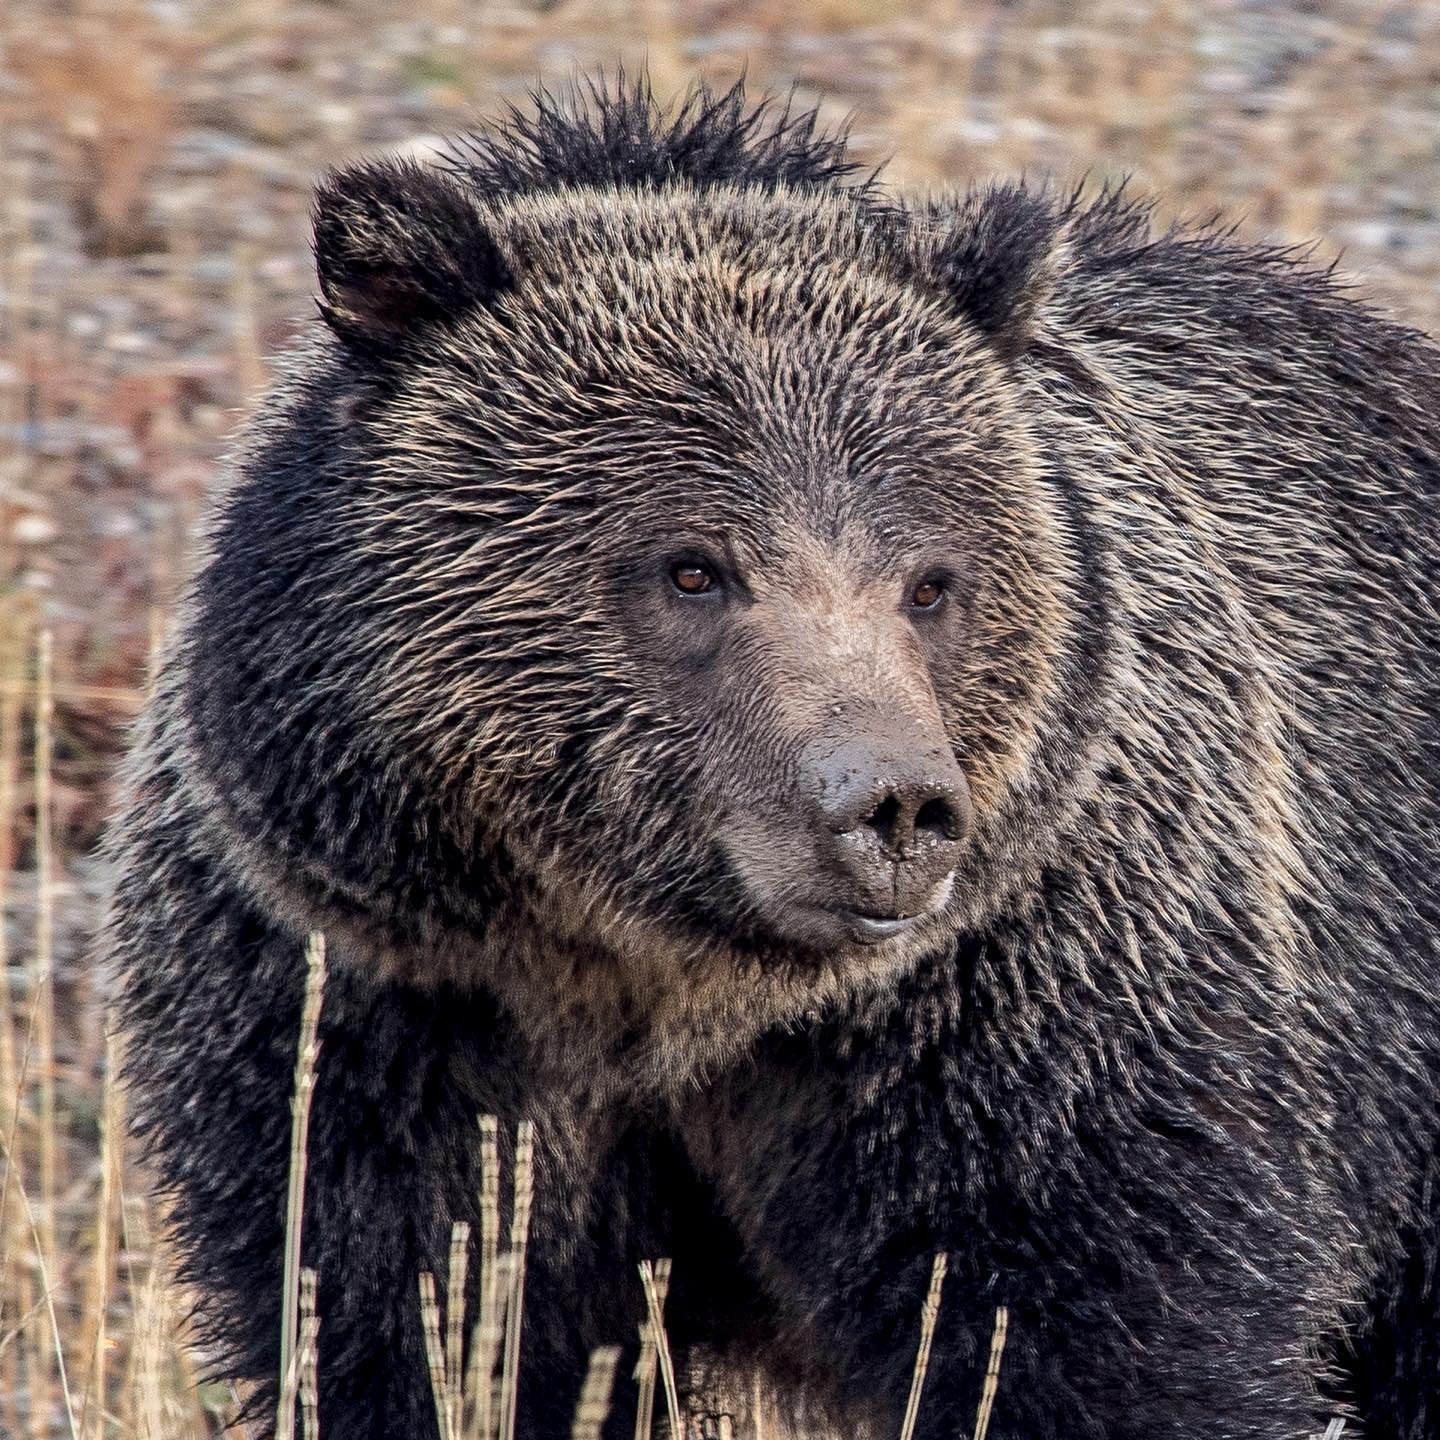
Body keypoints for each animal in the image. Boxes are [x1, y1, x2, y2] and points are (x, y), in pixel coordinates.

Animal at [103, 76, 1440, 1440]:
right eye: (693, 567)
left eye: (930, 581)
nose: (893, 806)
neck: (670, 989)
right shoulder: (385, 1018)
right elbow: (416, 1320)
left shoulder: (1027, 1025)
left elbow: (1095, 1338)